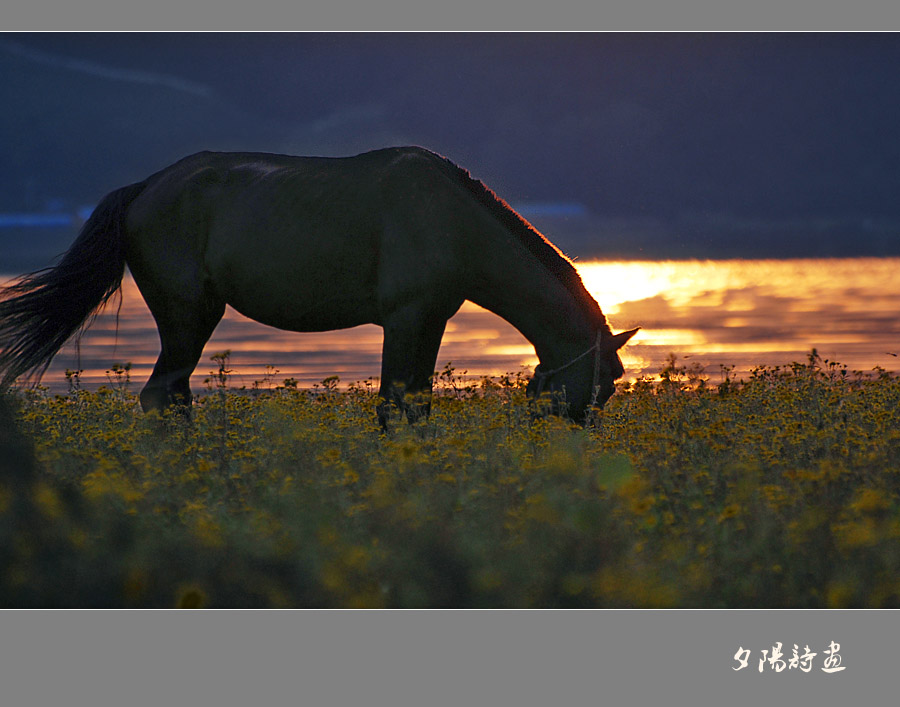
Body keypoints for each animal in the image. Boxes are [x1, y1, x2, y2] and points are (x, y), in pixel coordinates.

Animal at [0, 145, 636, 426]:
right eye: (601, 383)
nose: (575, 442)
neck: (452, 221)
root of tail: (142, 188)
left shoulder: (431, 317)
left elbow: (416, 403)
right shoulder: (405, 318)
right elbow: (395, 404)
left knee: (170, 395)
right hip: (187, 315)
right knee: (161, 396)